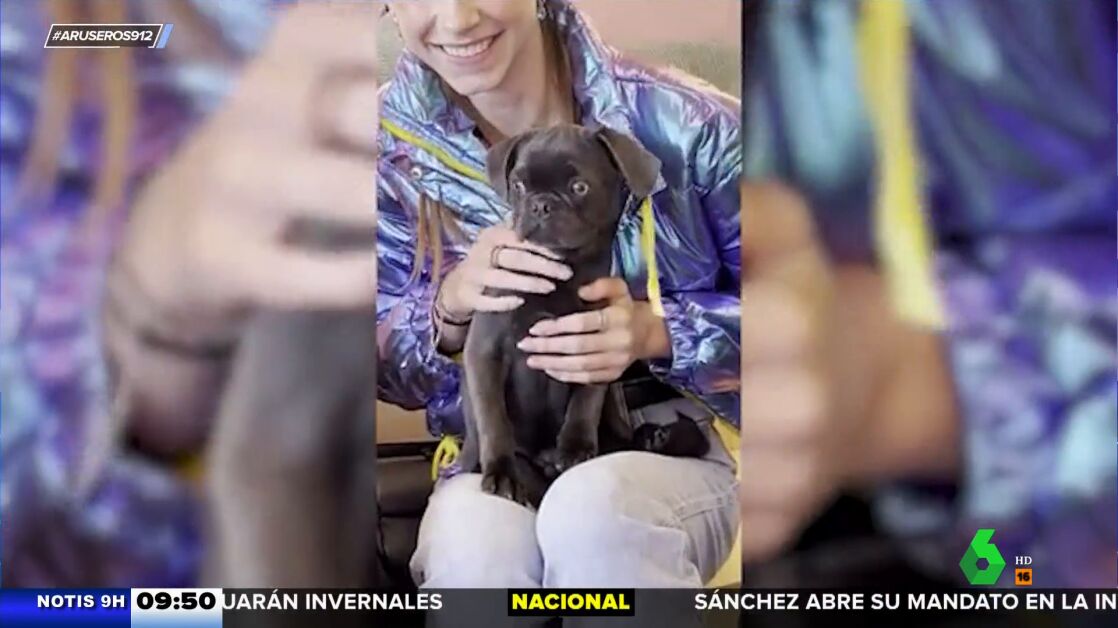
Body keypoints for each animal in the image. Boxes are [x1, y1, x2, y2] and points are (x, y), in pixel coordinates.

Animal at [456, 124, 709, 509]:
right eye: (518, 185)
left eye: (579, 188)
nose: (541, 204)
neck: (562, 272)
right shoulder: (485, 353)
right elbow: (493, 418)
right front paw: (501, 471)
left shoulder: (595, 348)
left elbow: (585, 401)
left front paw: (575, 446)